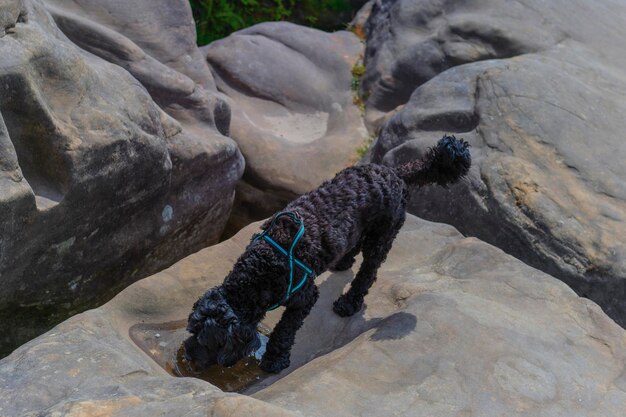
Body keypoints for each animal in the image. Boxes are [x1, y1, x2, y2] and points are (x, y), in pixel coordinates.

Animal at [185, 135, 468, 372]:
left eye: (207, 341)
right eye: (191, 329)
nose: (187, 356)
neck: (260, 271)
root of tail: (395, 172)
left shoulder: (305, 296)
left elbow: (284, 331)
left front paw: (274, 360)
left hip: (382, 236)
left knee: (368, 273)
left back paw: (348, 303)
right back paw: (343, 261)